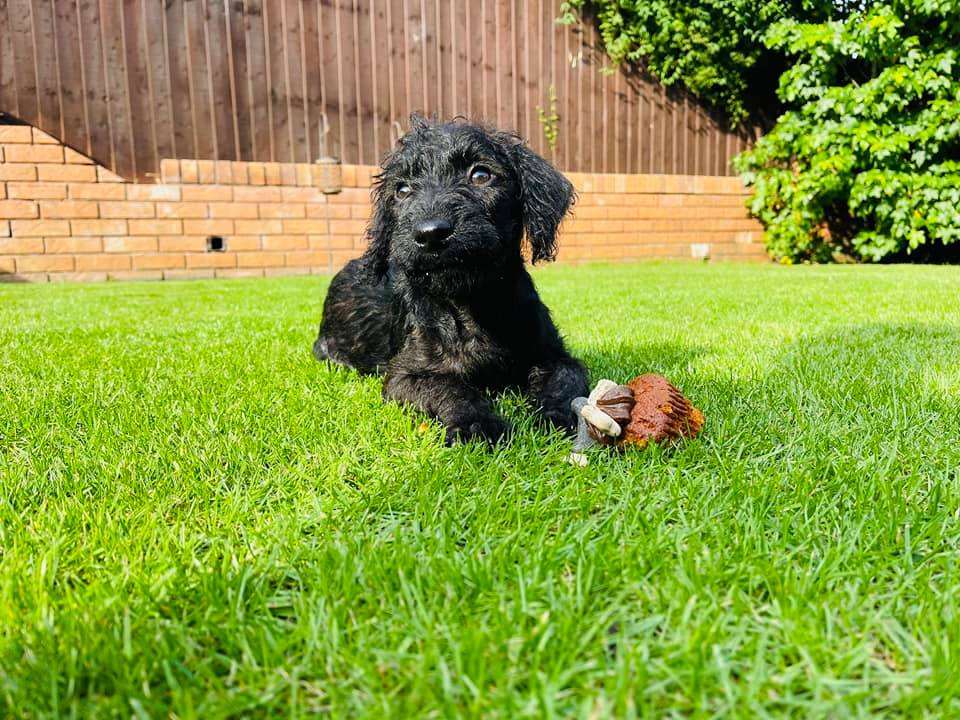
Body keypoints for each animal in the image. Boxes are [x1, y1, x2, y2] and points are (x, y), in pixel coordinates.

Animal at [313, 117, 589, 445]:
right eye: (402, 190)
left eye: (480, 175)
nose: (430, 233)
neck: (473, 303)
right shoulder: (403, 375)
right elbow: (448, 387)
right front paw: (478, 425)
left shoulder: (555, 354)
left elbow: (568, 378)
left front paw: (557, 417)